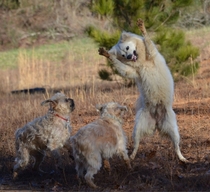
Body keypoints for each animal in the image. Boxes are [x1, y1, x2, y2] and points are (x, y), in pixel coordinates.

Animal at [99, 18, 189, 163]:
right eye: (123, 54)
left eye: (128, 48)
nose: (129, 57)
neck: (142, 62)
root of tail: (156, 121)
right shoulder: (130, 71)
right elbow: (121, 66)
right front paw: (107, 55)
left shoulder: (151, 53)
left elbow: (148, 41)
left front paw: (142, 28)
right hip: (137, 128)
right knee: (136, 144)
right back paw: (132, 156)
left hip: (174, 130)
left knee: (176, 146)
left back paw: (182, 158)